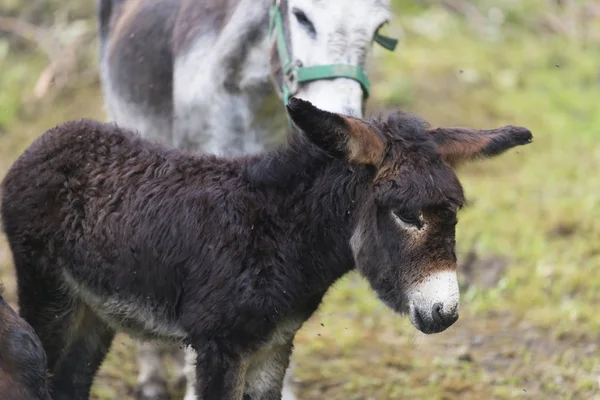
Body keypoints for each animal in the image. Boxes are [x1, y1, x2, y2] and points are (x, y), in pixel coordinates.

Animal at [1, 97, 536, 400]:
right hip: (48, 292)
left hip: (94, 309)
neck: (279, 235)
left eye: (454, 215)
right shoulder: (219, 347)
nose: (445, 313)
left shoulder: (275, 345)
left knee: (70, 382)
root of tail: (54, 137)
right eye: (407, 215)